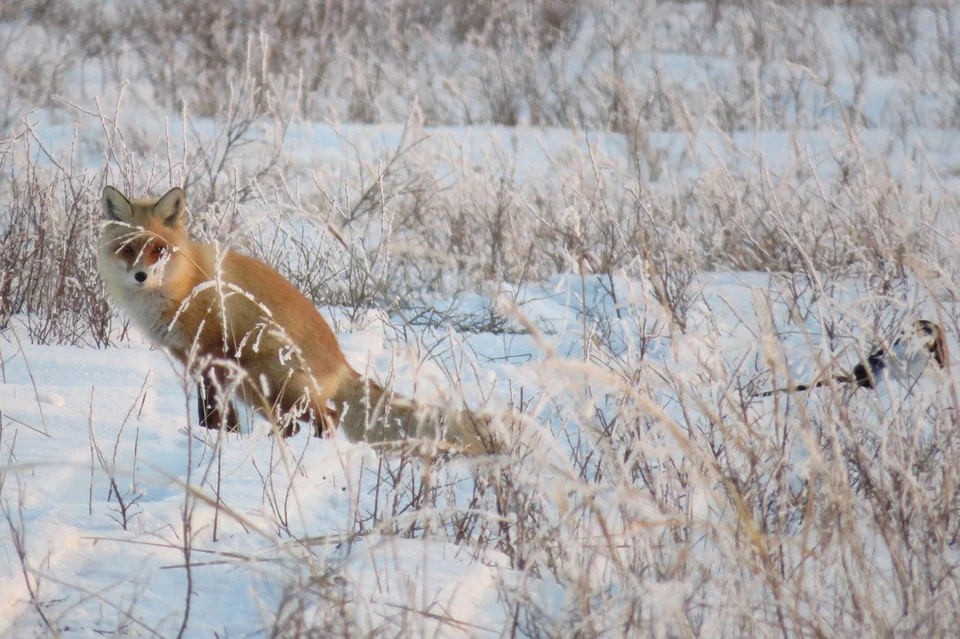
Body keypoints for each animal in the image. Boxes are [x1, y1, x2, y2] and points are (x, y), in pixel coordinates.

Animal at [97, 185, 498, 456]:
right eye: (128, 249)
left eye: (158, 249)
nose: (141, 277)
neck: (183, 285)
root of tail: (341, 362)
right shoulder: (193, 360)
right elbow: (215, 415)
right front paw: (219, 438)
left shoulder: (213, 352)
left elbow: (214, 412)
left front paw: (218, 440)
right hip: (260, 391)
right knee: (301, 423)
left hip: (271, 378)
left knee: (329, 418)